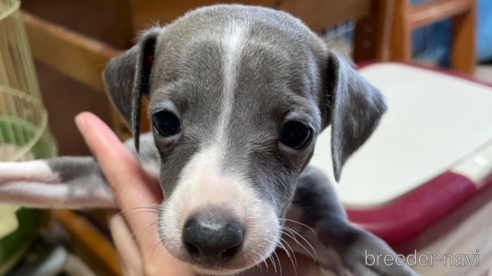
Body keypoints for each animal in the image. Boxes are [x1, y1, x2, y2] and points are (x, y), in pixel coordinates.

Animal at [0, 4, 418, 276]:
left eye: (298, 133)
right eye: (164, 122)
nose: (212, 237)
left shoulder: (329, 229)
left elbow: (373, 253)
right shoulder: (112, 173)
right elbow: (47, 172)